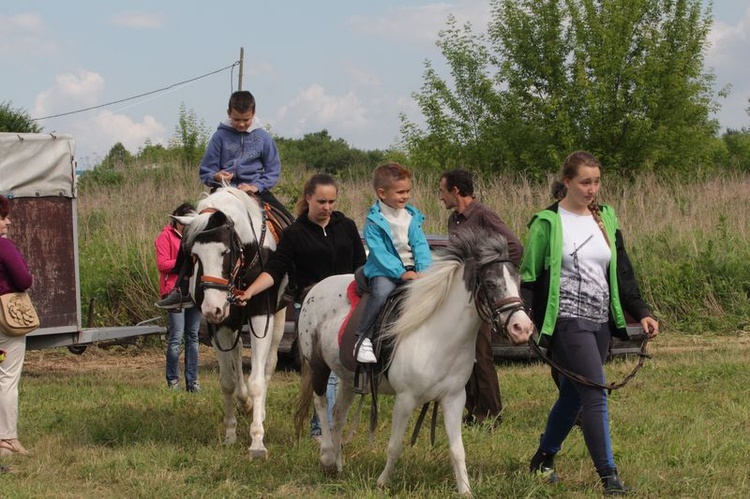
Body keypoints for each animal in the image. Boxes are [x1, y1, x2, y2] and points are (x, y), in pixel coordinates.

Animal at [176, 188, 288, 460]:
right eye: (194, 255)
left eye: (225, 252)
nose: (211, 308)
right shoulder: (221, 325)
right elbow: (227, 381)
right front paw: (229, 435)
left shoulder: (261, 317)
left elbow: (257, 381)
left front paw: (257, 442)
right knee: (237, 359)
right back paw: (244, 403)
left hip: (278, 318)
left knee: (268, 366)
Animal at [294, 229, 536, 496]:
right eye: (491, 283)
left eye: (519, 282)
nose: (522, 328)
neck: (436, 336)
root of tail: (314, 289)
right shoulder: (405, 399)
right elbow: (395, 446)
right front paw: (382, 483)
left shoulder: (453, 399)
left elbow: (457, 450)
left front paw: (465, 490)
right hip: (318, 365)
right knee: (320, 402)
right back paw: (327, 457)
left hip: (347, 375)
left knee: (338, 415)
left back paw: (337, 465)